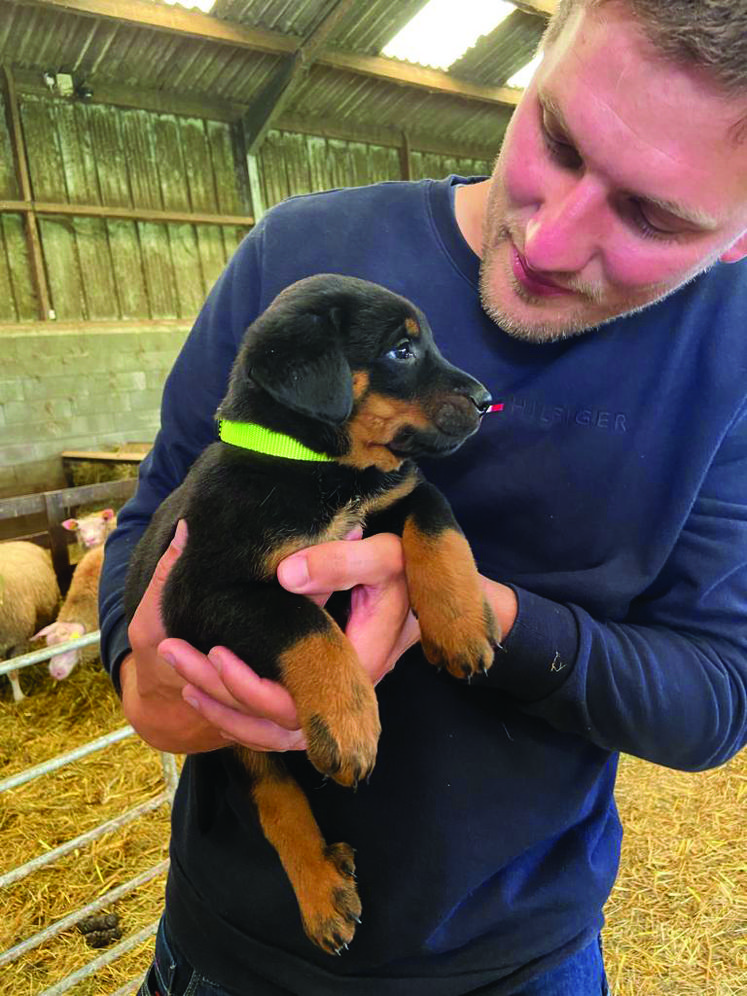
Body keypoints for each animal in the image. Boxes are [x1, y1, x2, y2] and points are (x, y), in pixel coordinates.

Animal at [125, 272, 500, 956]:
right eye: (402, 350)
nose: (487, 400)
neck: (319, 468)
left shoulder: (392, 498)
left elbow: (435, 516)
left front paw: (461, 624)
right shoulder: (198, 591)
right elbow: (305, 622)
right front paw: (350, 721)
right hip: (239, 740)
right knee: (276, 798)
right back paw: (323, 892)